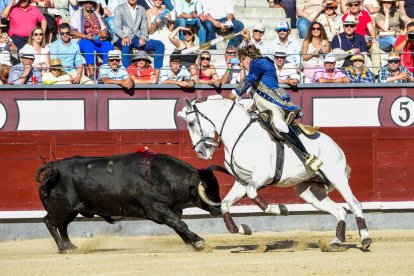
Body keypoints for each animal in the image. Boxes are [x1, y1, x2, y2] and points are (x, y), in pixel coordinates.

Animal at [35, 152, 223, 253]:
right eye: (210, 191)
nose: (220, 209)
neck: (161, 176)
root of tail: (54, 166)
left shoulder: (170, 210)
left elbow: (178, 226)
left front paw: (192, 244)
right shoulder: (156, 209)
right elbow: (180, 224)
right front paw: (198, 242)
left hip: (69, 210)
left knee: (62, 226)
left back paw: (71, 246)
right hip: (61, 208)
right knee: (49, 222)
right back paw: (64, 248)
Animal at [177, 96, 372, 249]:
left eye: (191, 123)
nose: (200, 152)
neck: (240, 135)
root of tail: (334, 144)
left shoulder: (263, 176)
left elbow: (253, 193)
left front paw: (281, 209)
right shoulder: (242, 181)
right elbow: (225, 204)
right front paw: (243, 229)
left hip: (337, 176)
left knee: (355, 204)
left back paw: (365, 239)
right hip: (309, 191)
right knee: (340, 210)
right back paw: (336, 242)